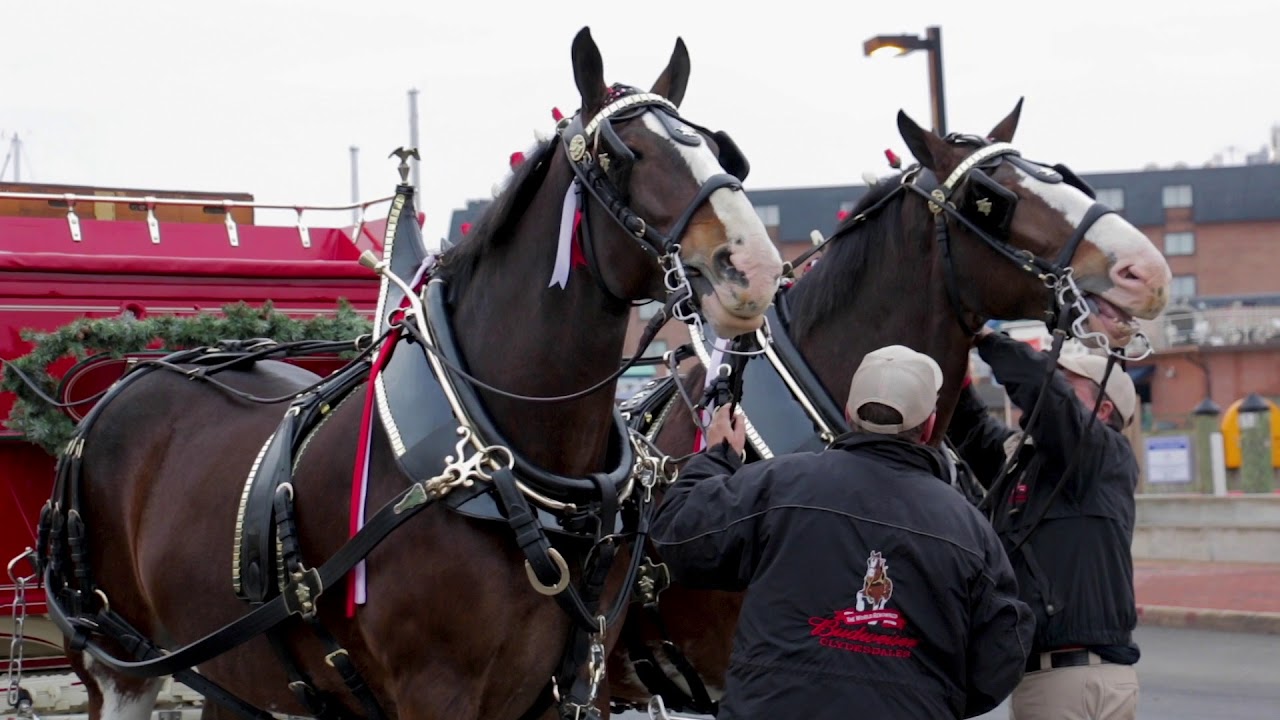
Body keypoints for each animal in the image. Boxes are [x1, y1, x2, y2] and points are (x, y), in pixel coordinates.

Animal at [33, 26, 785, 720]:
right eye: (621, 155)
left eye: (719, 150)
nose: (755, 265)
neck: (509, 463)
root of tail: (120, 388)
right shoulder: (435, 689)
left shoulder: (585, 683)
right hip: (119, 663)